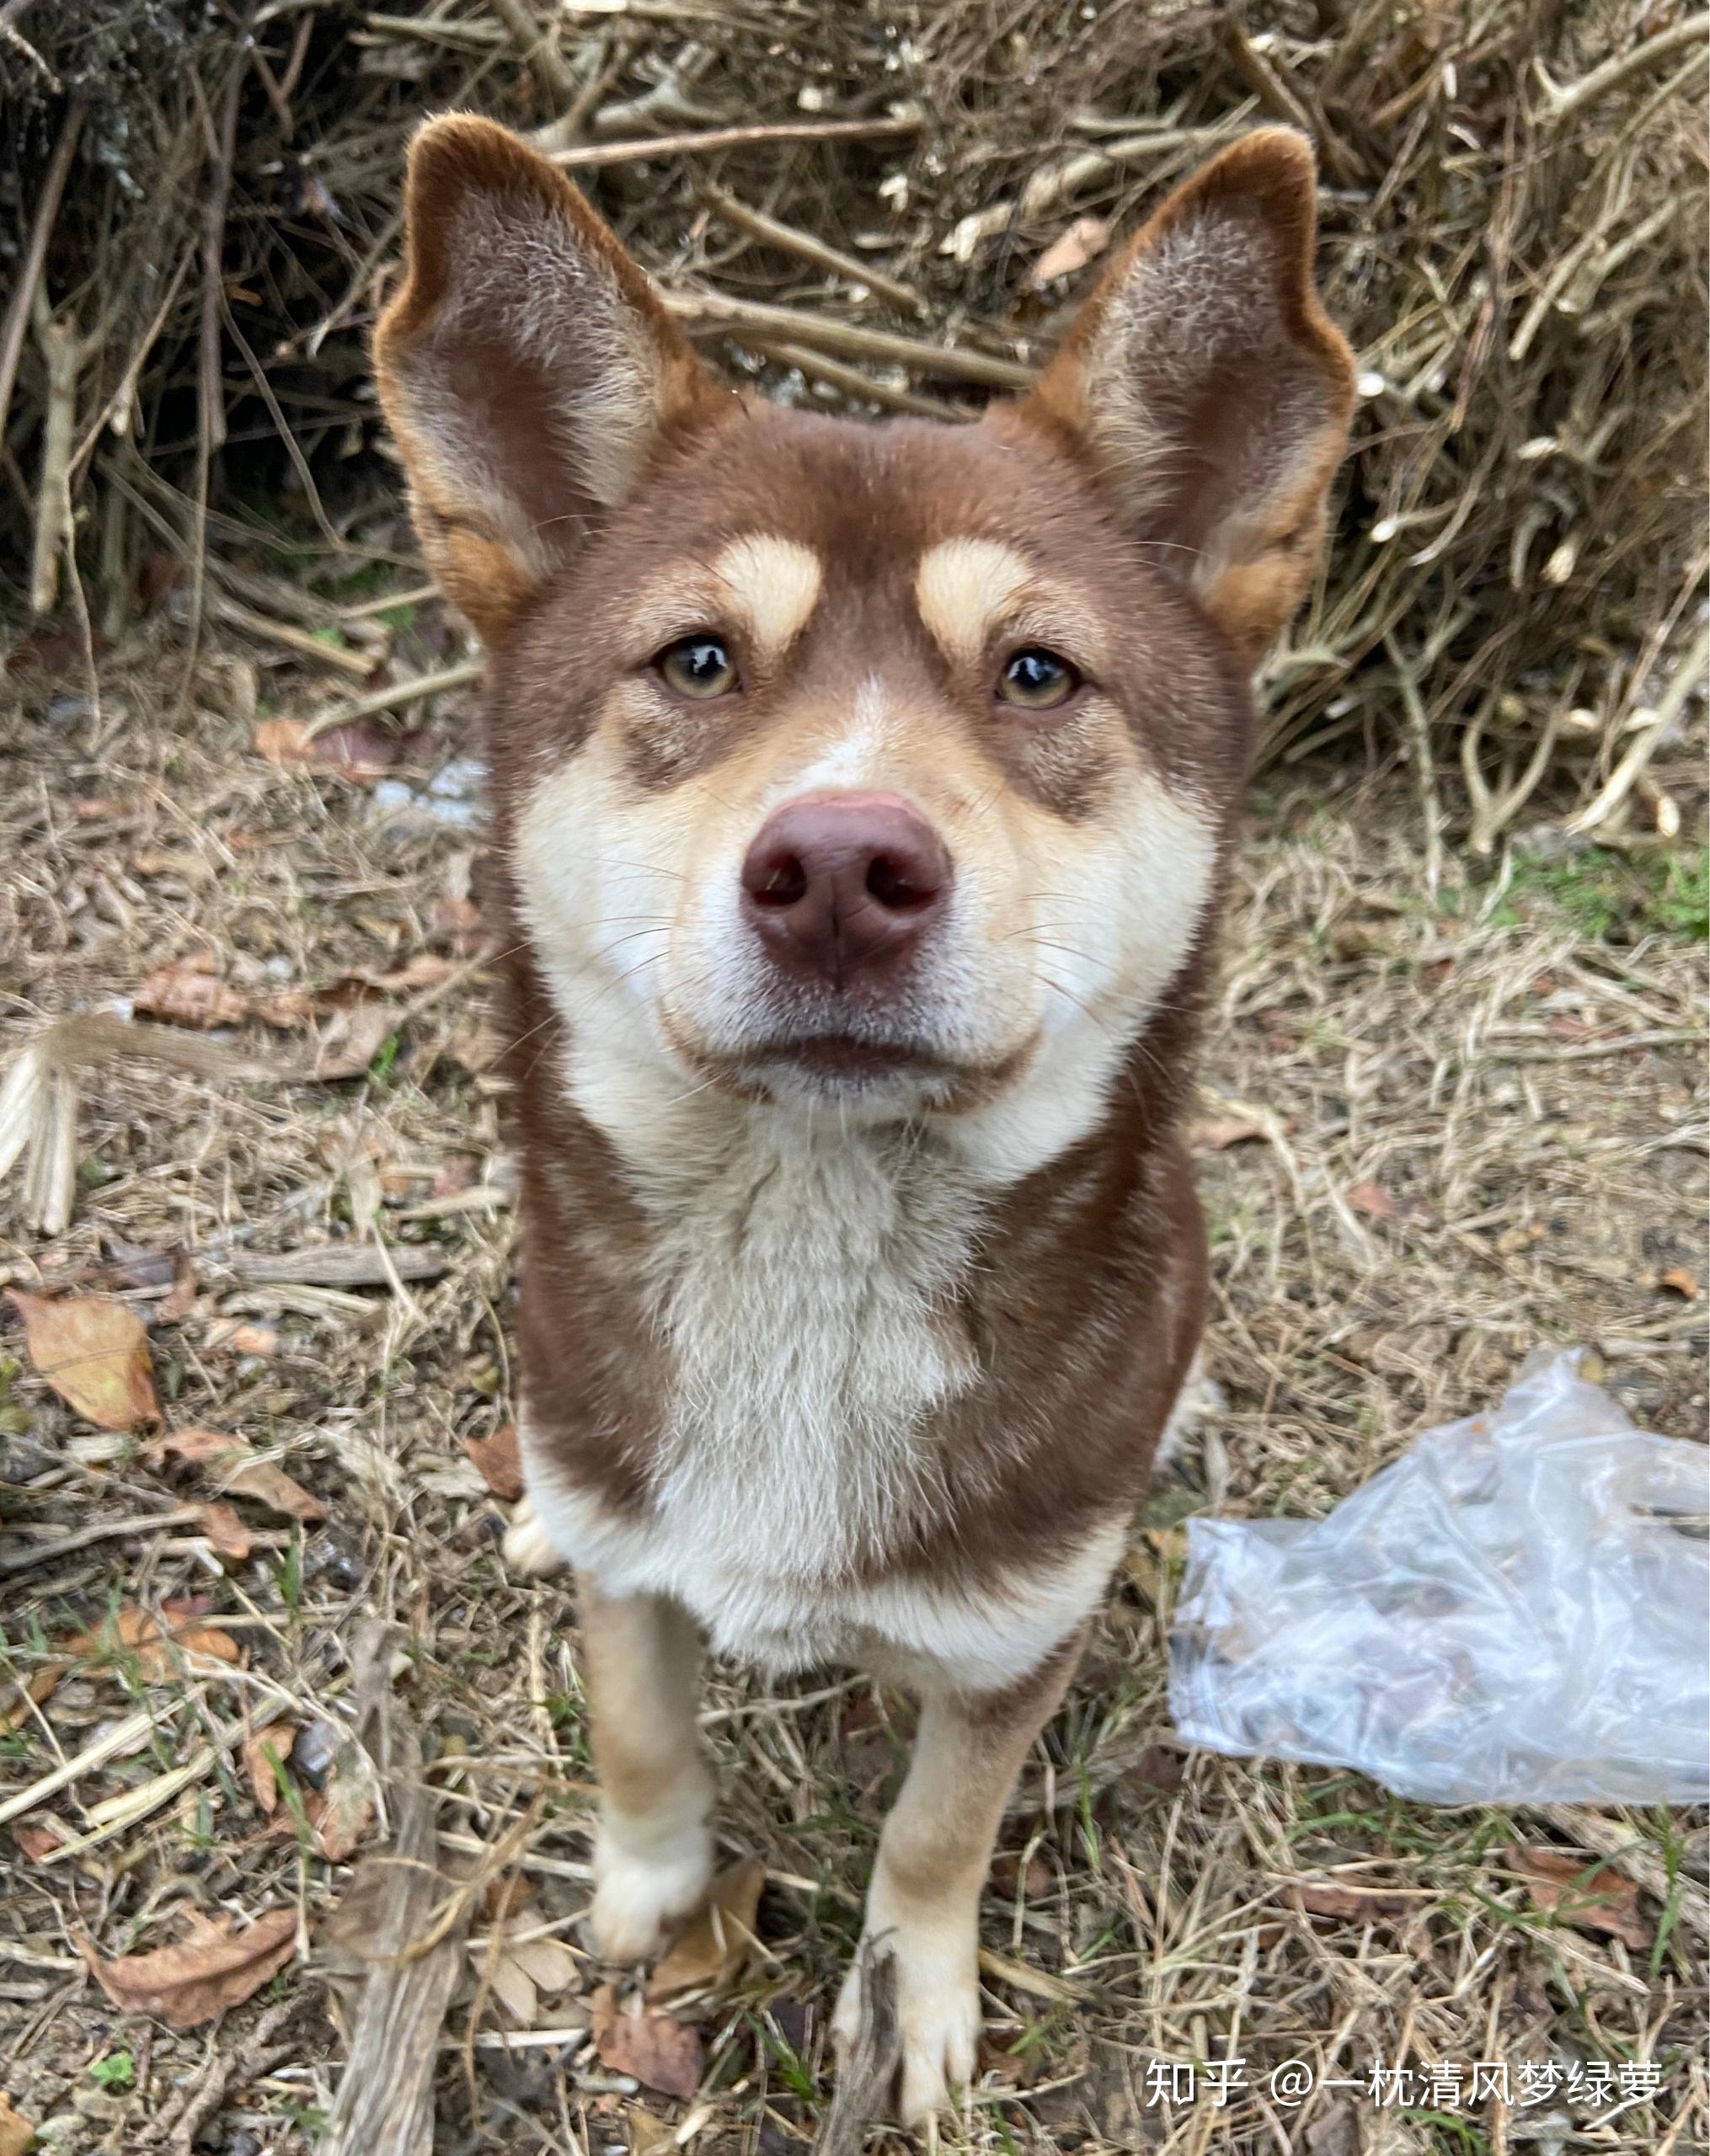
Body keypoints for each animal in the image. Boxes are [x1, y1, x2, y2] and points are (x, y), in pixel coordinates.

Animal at [371, 118, 1345, 2121]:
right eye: (696, 661)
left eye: (1037, 672)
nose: (838, 868)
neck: (812, 1245)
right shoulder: (637, 1572)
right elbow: (639, 1724)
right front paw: (649, 1896)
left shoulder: (1006, 1643)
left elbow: (934, 1830)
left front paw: (913, 1995)